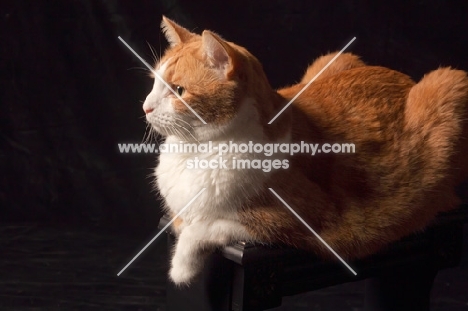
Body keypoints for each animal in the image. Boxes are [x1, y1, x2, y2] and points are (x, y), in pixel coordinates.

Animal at [143, 16, 468, 286]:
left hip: (452, 82)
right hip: (335, 57)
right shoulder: (177, 206)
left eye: (178, 91)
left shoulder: (301, 224)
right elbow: (181, 218)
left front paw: (182, 267)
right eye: (155, 84)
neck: (195, 152)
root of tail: (402, 76)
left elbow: (206, 227)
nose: (145, 107)